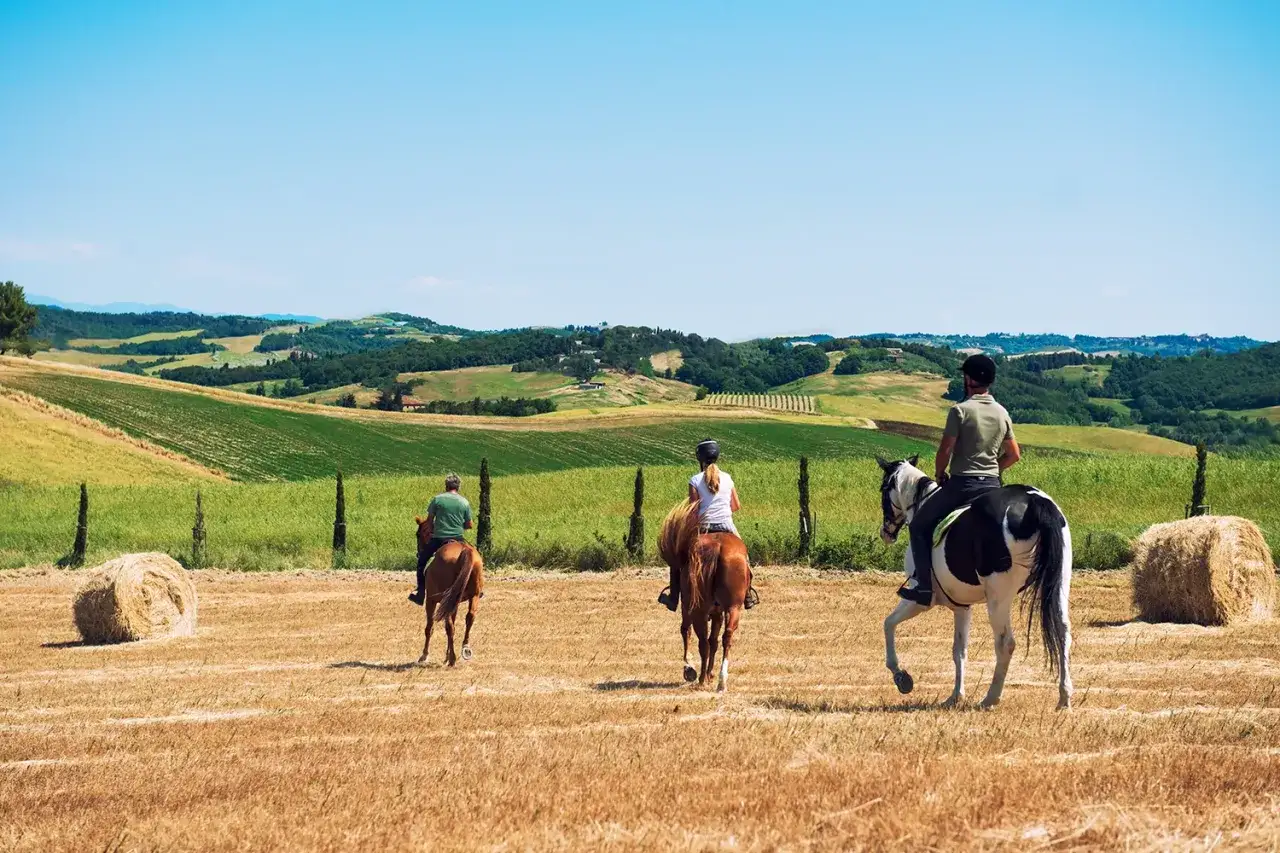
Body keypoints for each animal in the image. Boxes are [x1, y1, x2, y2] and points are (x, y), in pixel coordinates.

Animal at [414, 516, 484, 666]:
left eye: (418, 534)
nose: (418, 553)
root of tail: (465, 551)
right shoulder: (453, 602)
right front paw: (445, 655)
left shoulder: (432, 601)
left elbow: (429, 627)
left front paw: (424, 655)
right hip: (473, 595)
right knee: (469, 617)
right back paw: (464, 649)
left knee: (449, 626)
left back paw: (452, 658)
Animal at [658, 501, 752, 692]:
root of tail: (717, 547)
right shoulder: (717, 612)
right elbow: (713, 640)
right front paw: (707, 673)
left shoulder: (692, 608)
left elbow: (687, 631)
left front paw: (690, 668)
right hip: (732, 607)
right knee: (725, 637)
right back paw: (721, 681)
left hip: (698, 610)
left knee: (702, 641)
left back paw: (700, 677)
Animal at [876, 456, 1074, 710]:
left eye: (883, 489)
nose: (886, 533)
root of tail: (1032, 500)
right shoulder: (962, 607)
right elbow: (959, 651)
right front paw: (955, 696)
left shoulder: (919, 599)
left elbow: (888, 624)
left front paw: (901, 677)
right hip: (1059, 584)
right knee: (1063, 631)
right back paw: (1064, 698)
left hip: (999, 598)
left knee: (1006, 643)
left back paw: (991, 698)